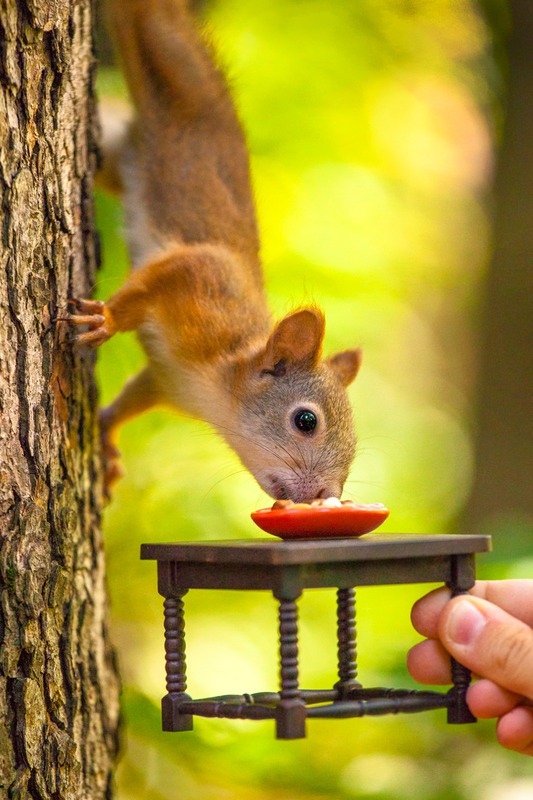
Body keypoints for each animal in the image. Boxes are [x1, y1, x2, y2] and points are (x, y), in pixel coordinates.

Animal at [68, 0, 362, 500]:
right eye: (306, 421)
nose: (326, 496)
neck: (219, 389)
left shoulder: (166, 382)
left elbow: (133, 396)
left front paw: (106, 436)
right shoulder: (200, 278)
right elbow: (154, 282)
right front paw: (106, 318)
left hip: (113, 149)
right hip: (164, 55)